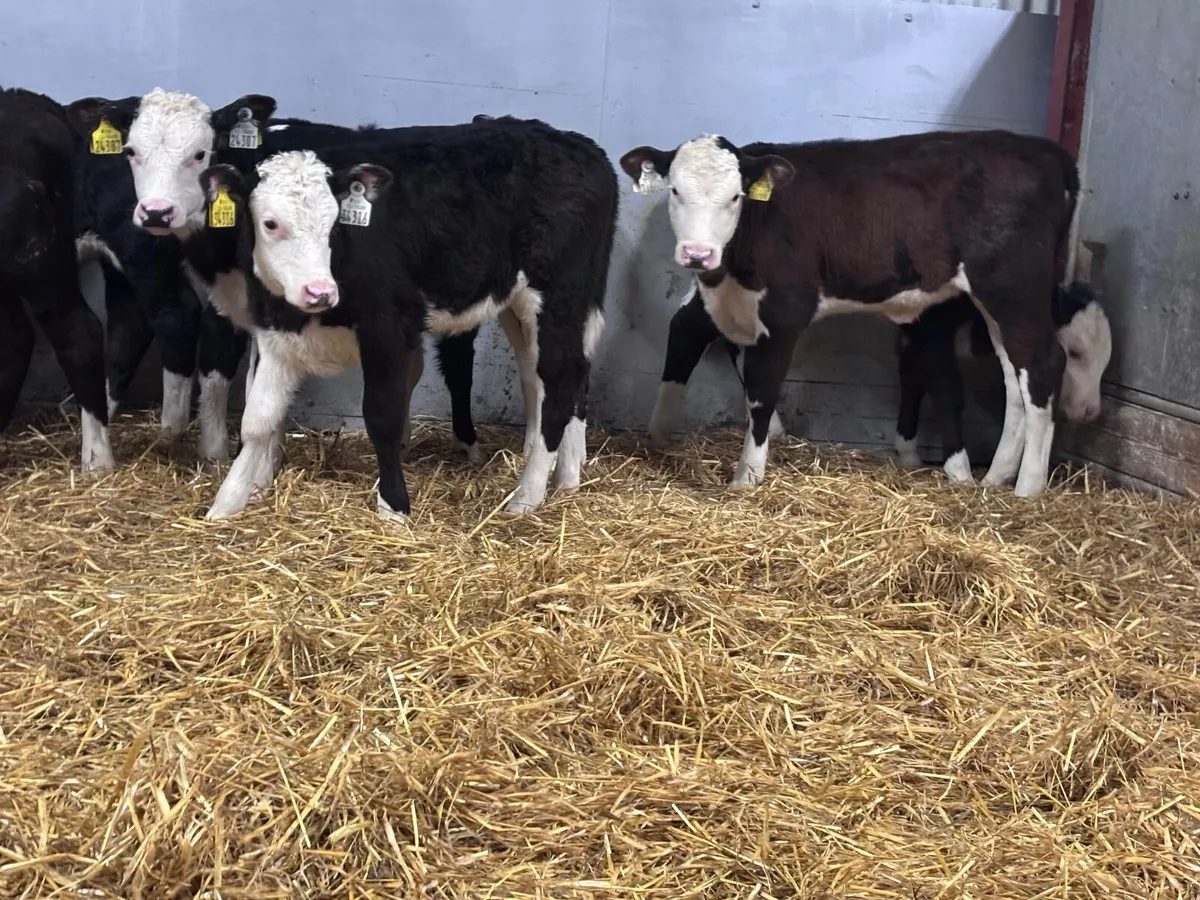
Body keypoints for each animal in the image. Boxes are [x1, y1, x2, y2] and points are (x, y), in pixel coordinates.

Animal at [193, 114, 616, 521]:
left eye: (334, 222)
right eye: (270, 223)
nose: (320, 291)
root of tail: (580, 145)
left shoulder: (388, 328)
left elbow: (382, 417)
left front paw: (393, 509)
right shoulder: (276, 331)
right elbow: (257, 421)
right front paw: (227, 503)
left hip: (560, 295)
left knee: (560, 382)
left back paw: (527, 497)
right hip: (522, 304)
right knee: (543, 375)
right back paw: (565, 479)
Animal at [894, 284, 1111, 478]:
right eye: (1075, 352)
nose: (1091, 411)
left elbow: (912, 380)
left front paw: (907, 454)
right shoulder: (931, 331)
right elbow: (947, 395)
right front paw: (959, 468)